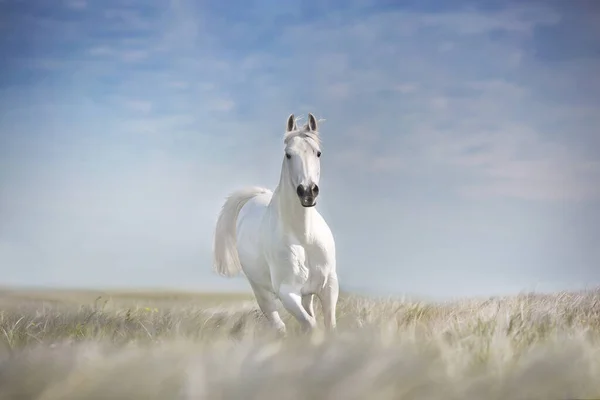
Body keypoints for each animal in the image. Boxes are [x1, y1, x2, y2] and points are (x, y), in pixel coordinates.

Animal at [213, 113, 340, 334]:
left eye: (318, 153)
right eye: (288, 154)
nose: (308, 192)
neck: (304, 237)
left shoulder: (329, 286)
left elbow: (328, 324)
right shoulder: (287, 293)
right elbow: (310, 324)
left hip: (307, 294)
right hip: (261, 290)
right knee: (277, 323)